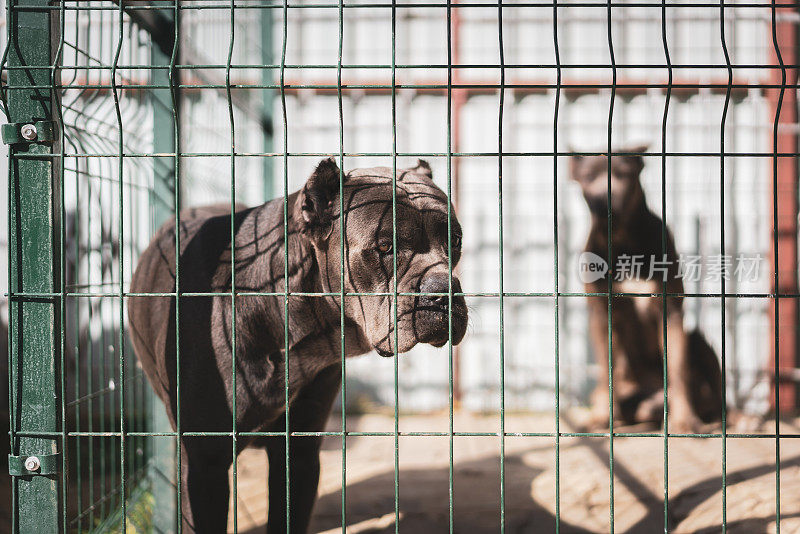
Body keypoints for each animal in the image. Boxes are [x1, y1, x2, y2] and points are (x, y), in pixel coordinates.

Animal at [568, 149, 724, 434]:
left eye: (623, 174)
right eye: (588, 177)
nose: (605, 202)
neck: (622, 241)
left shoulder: (670, 312)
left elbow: (678, 370)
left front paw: (684, 420)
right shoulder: (601, 315)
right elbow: (607, 369)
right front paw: (601, 416)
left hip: (698, 341)